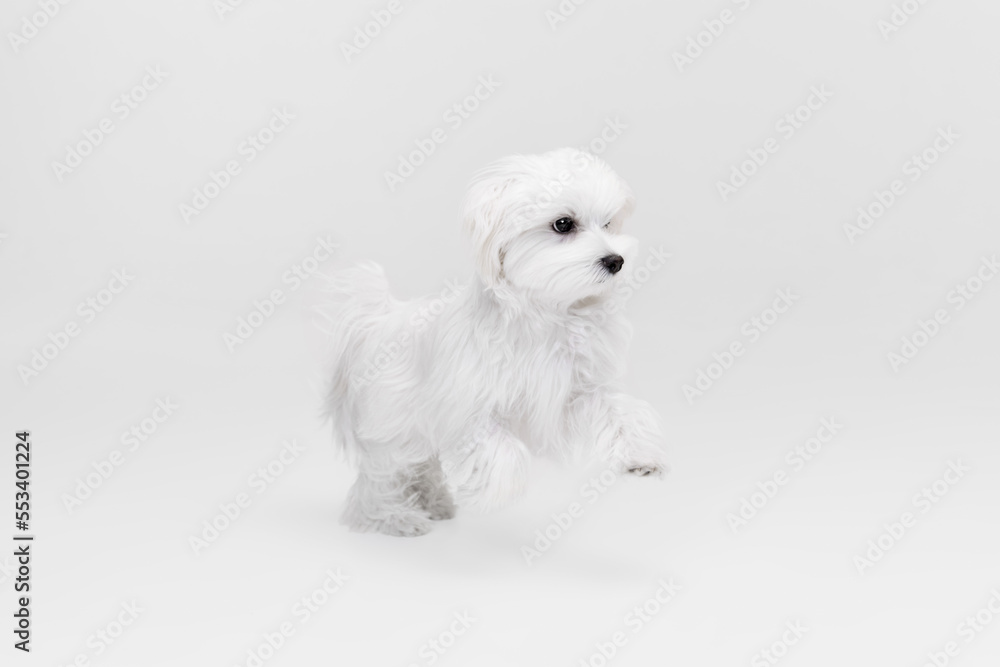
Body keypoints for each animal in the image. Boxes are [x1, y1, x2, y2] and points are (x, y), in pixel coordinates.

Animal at [324, 147, 668, 536]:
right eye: (563, 224)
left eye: (608, 224)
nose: (616, 260)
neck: (544, 313)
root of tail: (378, 320)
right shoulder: (465, 403)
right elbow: (498, 446)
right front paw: (494, 490)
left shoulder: (574, 390)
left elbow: (620, 412)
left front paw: (642, 455)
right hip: (392, 425)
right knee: (380, 477)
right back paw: (389, 517)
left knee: (420, 465)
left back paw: (435, 502)